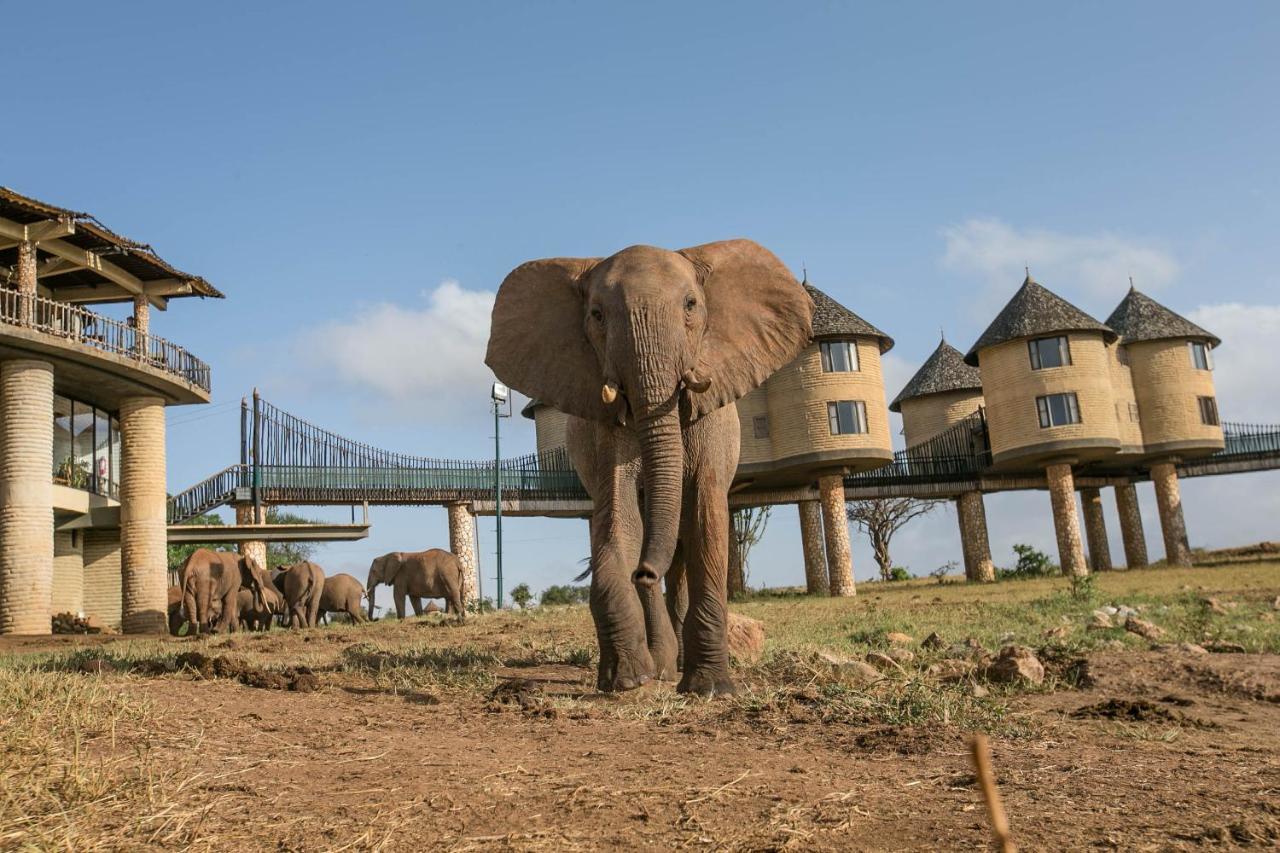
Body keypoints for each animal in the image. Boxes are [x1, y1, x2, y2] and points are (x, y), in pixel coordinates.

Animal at [483, 236, 814, 691]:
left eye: (691, 304)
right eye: (597, 315)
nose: (642, 573)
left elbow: (707, 519)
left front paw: (709, 689)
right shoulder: (607, 430)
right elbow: (619, 522)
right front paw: (628, 679)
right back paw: (660, 665)